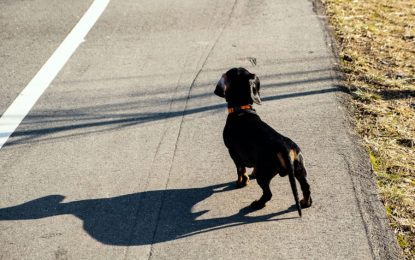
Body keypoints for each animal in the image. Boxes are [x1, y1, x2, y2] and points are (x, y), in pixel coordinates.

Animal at [214, 67, 312, 215]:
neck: (242, 110)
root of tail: (284, 147)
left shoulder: (233, 152)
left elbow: (240, 169)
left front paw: (242, 182)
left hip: (264, 175)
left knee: (268, 194)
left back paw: (257, 204)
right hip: (299, 169)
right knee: (306, 187)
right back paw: (305, 203)